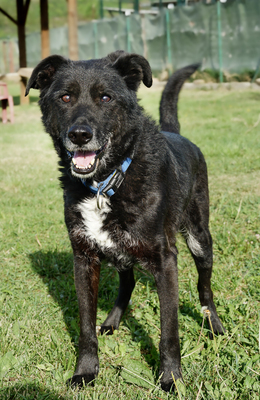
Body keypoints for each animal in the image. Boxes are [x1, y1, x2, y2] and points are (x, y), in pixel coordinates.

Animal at [26, 51, 225, 392]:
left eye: (106, 97)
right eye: (65, 97)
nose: (80, 135)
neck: (104, 183)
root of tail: (177, 133)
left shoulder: (164, 260)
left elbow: (169, 330)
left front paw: (171, 378)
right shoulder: (84, 258)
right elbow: (85, 326)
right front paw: (86, 371)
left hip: (200, 238)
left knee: (205, 287)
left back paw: (213, 323)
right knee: (127, 281)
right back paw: (113, 320)